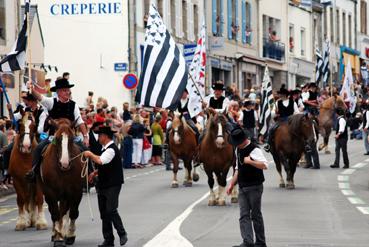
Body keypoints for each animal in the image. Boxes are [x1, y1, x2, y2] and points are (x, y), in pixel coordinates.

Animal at [40, 118, 83, 246]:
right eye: (57, 138)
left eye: (72, 138)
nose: (65, 163)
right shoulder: (50, 193)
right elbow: (55, 213)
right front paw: (58, 237)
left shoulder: (76, 192)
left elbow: (73, 212)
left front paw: (70, 235)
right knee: (56, 212)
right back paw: (56, 233)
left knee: (64, 212)